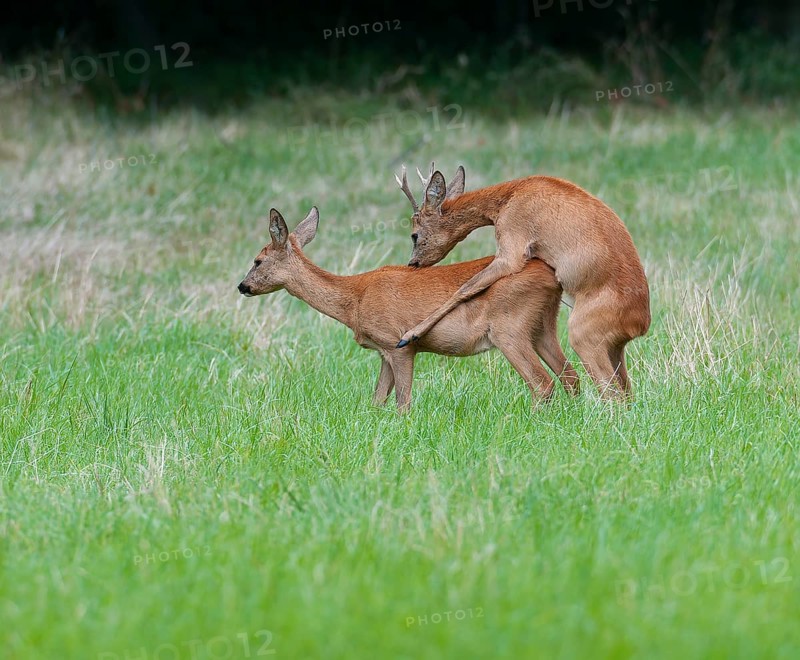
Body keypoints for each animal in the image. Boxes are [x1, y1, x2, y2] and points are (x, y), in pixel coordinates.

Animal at [237, 207, 580, 412]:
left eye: (257, 260)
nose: (242, 286)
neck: (354, 300)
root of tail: (553, 275)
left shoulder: (397, 343)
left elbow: (404, 403)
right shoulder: (383, 352)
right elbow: (377, 400)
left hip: (509, 326)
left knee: (543, 383)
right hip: (542, 326)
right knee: (570, 377)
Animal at [394, 163, 651, 399]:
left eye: (414, 234)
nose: (413, 263)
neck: (507, 199)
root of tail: (641, 324)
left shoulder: (511, 246)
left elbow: (466, 287)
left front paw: (409, 335)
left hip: (584, 335)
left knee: (611, 393)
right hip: (614, 348)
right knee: (625, 392)